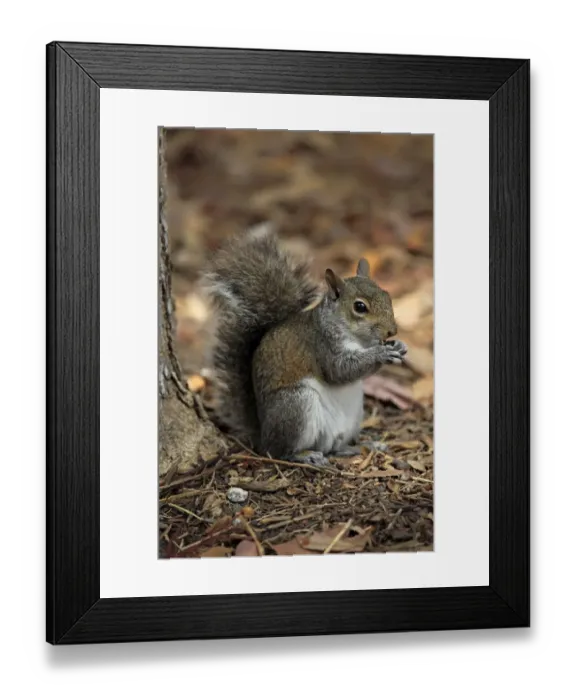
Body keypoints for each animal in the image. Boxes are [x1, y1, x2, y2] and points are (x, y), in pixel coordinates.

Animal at [202, 225, 407, 466]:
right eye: (360, 307)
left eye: (387, 295)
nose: (392, 331)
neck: (358, 339)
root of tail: (262, 434)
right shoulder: (321, 346)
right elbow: (340, 370)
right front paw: (380, 353)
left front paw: (399, 346)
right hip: (296, 406)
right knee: (279, 451)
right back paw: (304, 455)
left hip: (353, 415)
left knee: (334, 447)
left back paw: (362, 446)